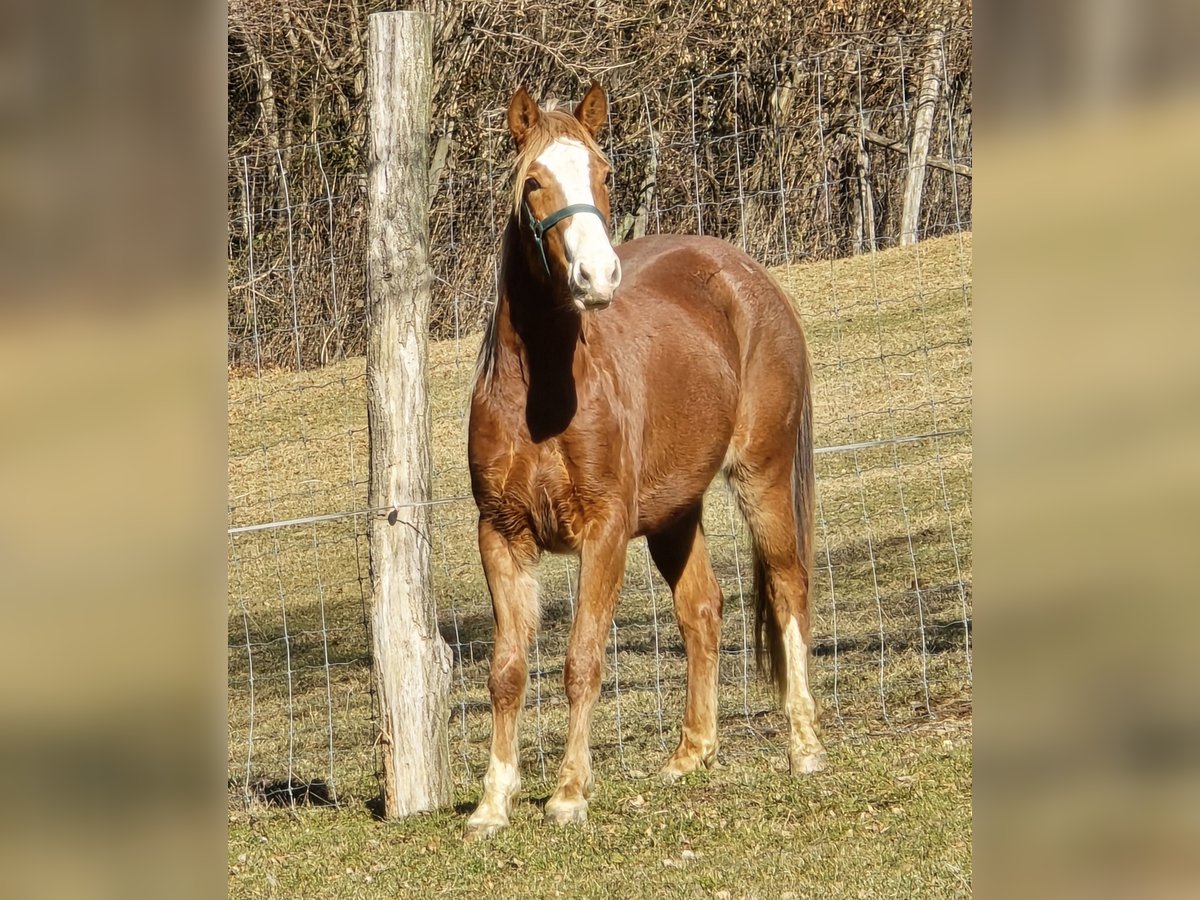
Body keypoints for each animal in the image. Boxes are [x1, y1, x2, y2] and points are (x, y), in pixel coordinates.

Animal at [460, 81, 825, 844]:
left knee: (787, 589)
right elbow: (507, 669)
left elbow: (582, 659)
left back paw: (804, 746)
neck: (542, 393)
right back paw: (690, 755)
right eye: (533, 182)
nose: (597, 276)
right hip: (674, 513)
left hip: (764, 476)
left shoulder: (603, 531)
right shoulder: (501, 533)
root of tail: (745, 274)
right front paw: (493, 802)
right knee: (702, 610)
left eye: (605, 173)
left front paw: (569, 794)